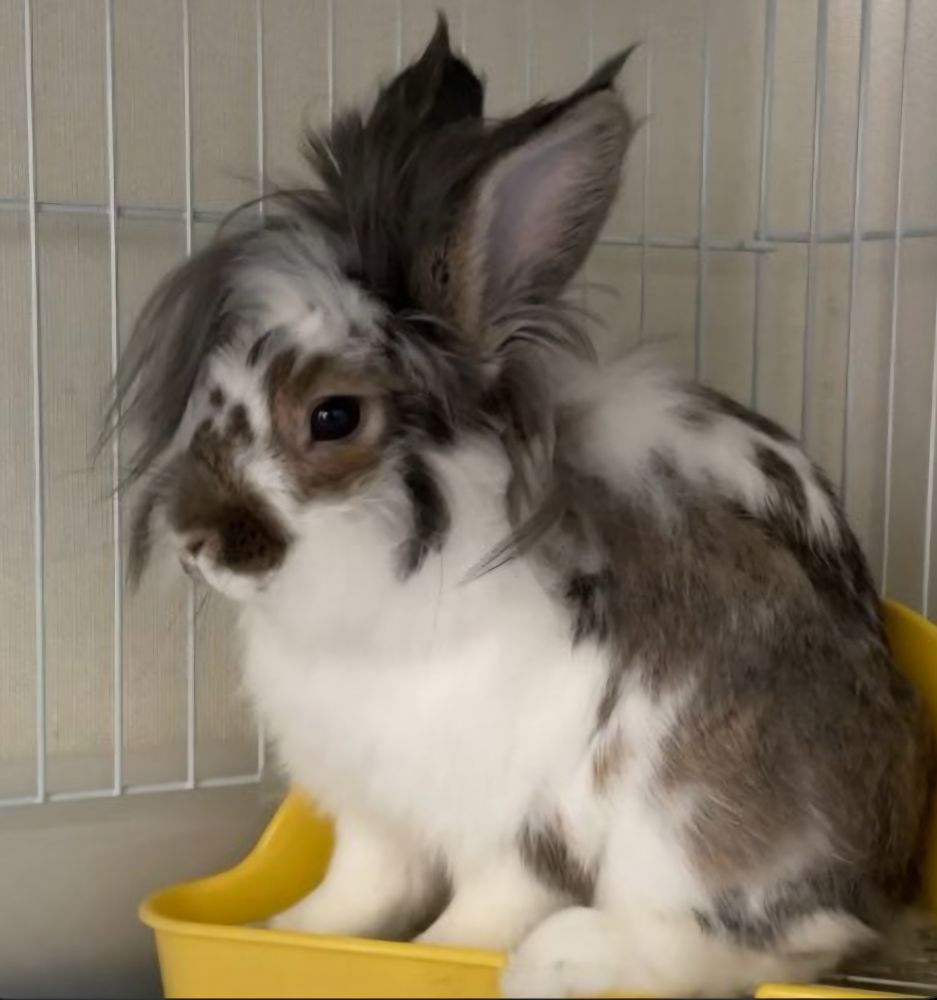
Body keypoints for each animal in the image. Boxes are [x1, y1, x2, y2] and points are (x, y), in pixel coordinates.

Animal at [113, 18, 934, 999]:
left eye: (333, 416)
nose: (194, 540)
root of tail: (886, 879)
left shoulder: (518, 824)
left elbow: (479, 917)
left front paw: (444, 955)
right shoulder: (372, 811)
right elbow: (357, 894)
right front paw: (287, 931)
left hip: (693, 811)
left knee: (782, 939)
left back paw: (563, 958)